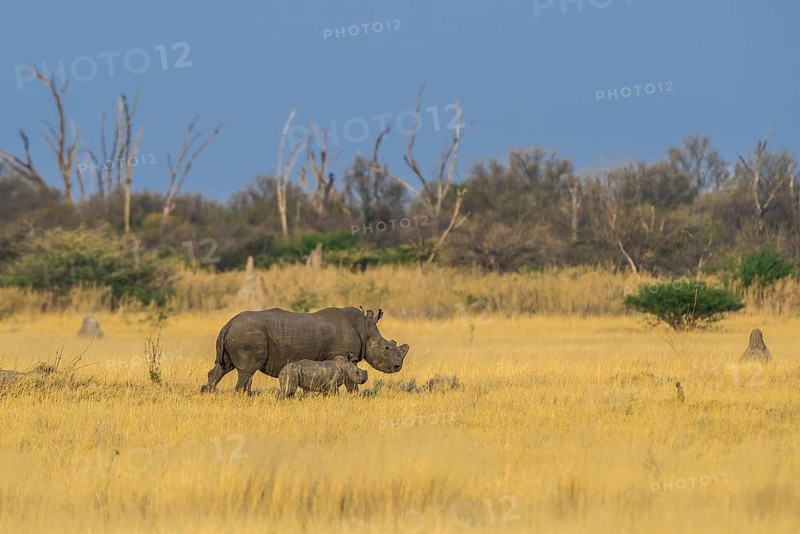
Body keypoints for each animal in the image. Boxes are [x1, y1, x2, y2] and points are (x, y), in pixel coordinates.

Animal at [200, 306, 409, 394]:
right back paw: (244, 396)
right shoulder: (345, 356)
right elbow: (351, 381)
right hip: (247, 335)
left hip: (237, 333)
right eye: (387, 347)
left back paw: (210, 392)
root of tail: (228, 324)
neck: (365, 329)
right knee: (246, 371)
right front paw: (354, 396)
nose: (398, 366)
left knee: (224, 368)